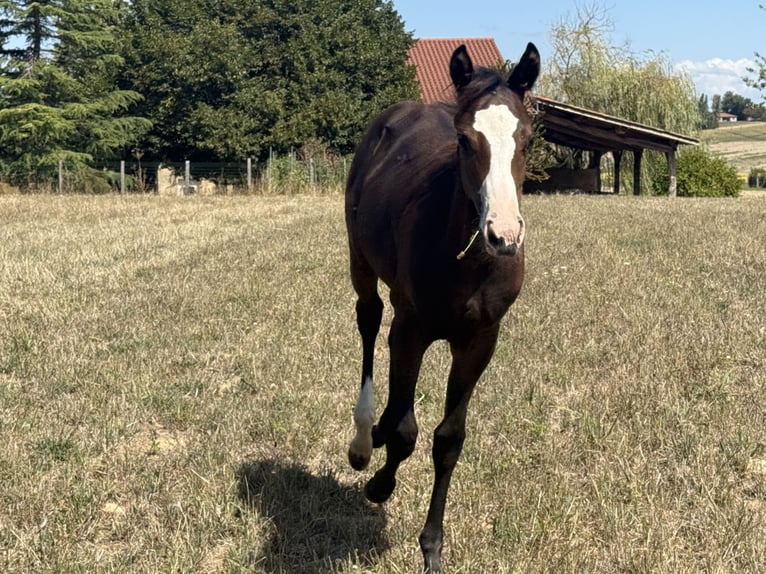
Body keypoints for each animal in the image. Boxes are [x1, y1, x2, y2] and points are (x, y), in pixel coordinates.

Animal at [344, 42, 540, 573]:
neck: (468, 261)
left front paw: (432, 546)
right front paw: (380, 484)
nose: (503, 234)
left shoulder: (479, 340)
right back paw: (364, 438)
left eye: (527, 138)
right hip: (360, 261)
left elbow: (448, 438)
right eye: (465, 138)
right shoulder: (411, 329)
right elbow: (406, 430)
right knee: (369, 321)